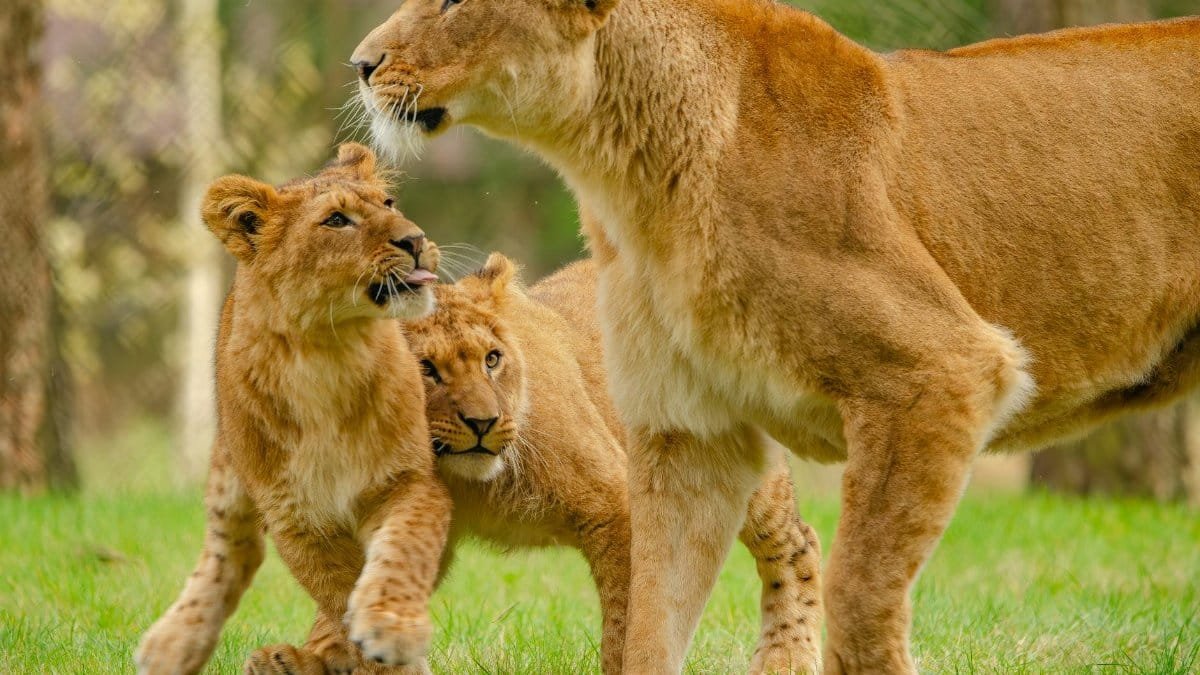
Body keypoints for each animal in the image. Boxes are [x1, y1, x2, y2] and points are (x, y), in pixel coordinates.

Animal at [135, 143, 451, 675]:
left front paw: (390, 629)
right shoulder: (297, 517)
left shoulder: (408, 481)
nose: (415, 240)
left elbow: (398, 557)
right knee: (228, 554)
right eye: (337, 220)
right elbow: (340, 592)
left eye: (389, 203)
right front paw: (383, 657)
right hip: (229, 477)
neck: (329, 352)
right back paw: (174, 646)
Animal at [351, 2, 1200, 673]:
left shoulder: (940, 370)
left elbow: (862, 595)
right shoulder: (690, 430)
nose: (361, 64)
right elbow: (650, 624)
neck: (619, 162)